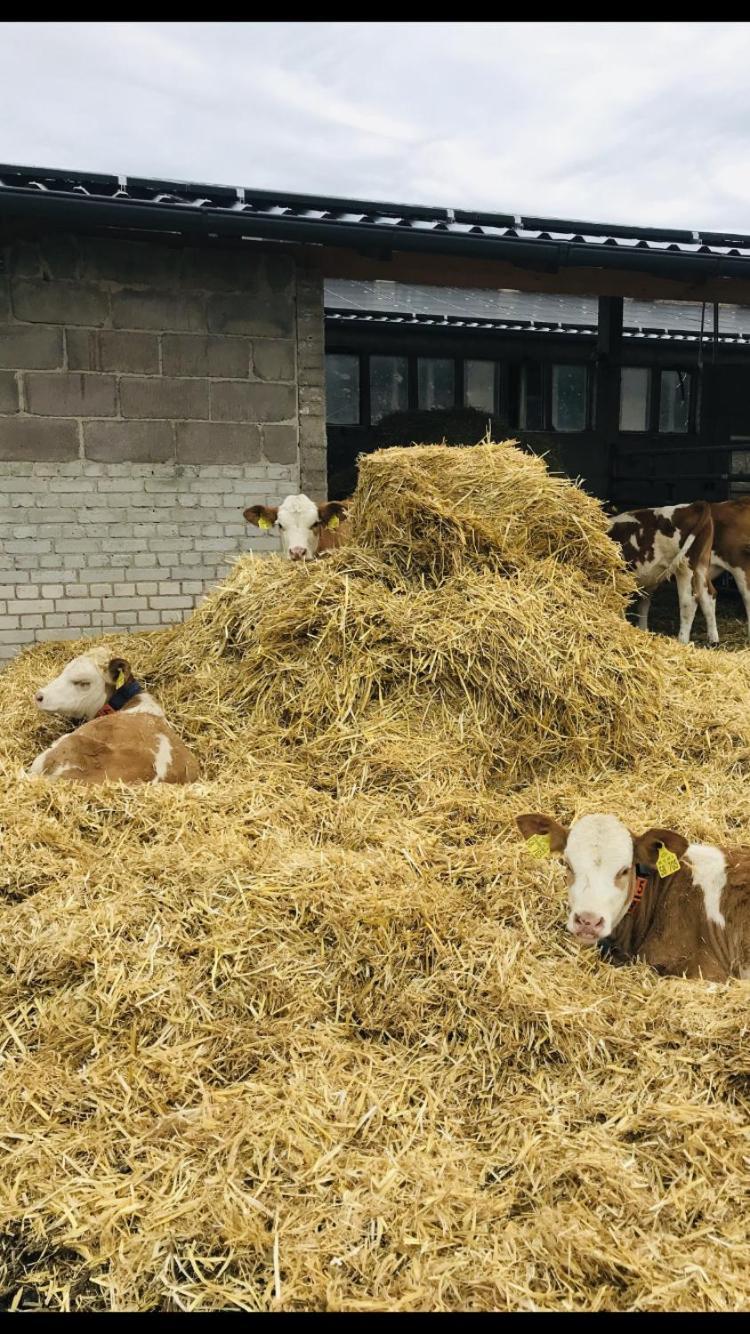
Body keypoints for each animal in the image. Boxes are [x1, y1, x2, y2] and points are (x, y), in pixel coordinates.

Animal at [603, 501, 715, 645]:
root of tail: (693, 505)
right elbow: (641, 605)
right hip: (702, 565)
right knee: (708, 596)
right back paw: (713, 640)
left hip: (685, 566)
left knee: (689, 601)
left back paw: (682, 641)